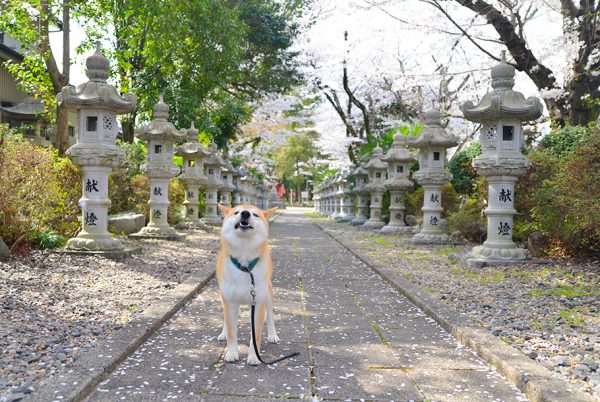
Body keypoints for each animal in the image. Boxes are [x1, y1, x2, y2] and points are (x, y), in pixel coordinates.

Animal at [217, 204, 280, 364]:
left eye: (255, 215)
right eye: (236, 212)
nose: (245, 213)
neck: (245, 266)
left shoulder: (257, 303)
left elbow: (256, 335)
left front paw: (254, 356)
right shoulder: (230, 302)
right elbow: (232, 332)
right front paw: (232, 353)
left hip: (268, 295)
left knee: (270, 317)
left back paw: (272, 335)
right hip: (223, 297)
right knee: (225, 318)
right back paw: (223, 333)